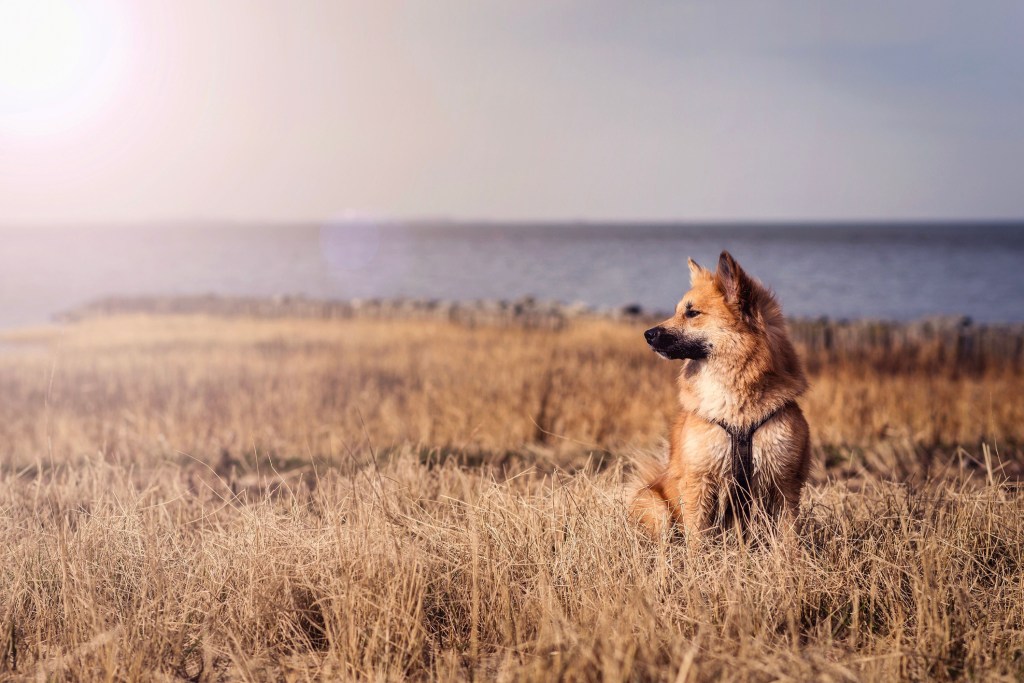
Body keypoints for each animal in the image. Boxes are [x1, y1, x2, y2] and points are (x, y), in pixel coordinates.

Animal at [626, 252, 811, 540]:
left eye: (692, 313)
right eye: (678, 311)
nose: (647, 334)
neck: (737, 406)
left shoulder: (784, 482)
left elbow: (788, 537)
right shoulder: (698, 481)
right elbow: (697, 539)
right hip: (657, 508)